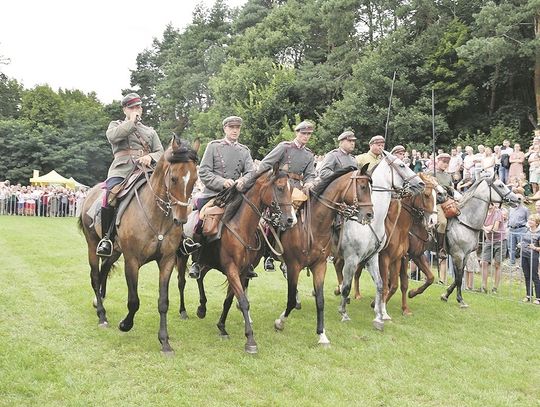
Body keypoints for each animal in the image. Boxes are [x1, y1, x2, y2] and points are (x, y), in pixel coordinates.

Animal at [78, 136, 198, 354]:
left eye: (194, 180)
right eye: (174, 178)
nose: (181, 220)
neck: (156, 216)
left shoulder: (167, 261)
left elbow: (163, 301)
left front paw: (164, 341)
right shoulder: (132, 261)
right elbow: (134, 301)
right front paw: (125, 324)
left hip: (114, 251)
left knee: (103, 271)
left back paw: (99, 302)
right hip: (92, 245)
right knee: (95, 276)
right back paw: (101, 314)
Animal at [177, 163, 296, 354]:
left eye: (292, 189)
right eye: (280, 188)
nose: (290, 220)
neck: (241, 228)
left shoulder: (242, 272)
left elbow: (229, 300)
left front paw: (222, 327)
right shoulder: (231, 269)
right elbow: (243, 301)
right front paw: (250, 340)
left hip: (207, 262)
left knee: (200, 277)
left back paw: (202, 308)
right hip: (181, 257)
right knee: (182, 282)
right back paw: (183, 311)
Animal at [272, 166, 374, 348]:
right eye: (362, 187)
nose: (370, 214)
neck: (313, 225)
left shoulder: (320, 266)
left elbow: (320, 301)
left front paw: (322, 335)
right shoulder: (294, 266)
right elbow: (290, 300)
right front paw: (280, 322)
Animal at [334, 151, 426, 330]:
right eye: (402, 165)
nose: (420, 183)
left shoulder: (374, 257)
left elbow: (381, 284)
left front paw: (379, 315)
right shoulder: (354, 258)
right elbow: (349, 285)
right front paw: (344, 312)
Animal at [440, 174, 520, 308]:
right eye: (500, 185)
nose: (518, 199)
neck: (464, 221)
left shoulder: (465, 256)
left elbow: (458, 277)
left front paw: (445, 295)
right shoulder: (458, 255)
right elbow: (458, 279)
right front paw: (460, 300)